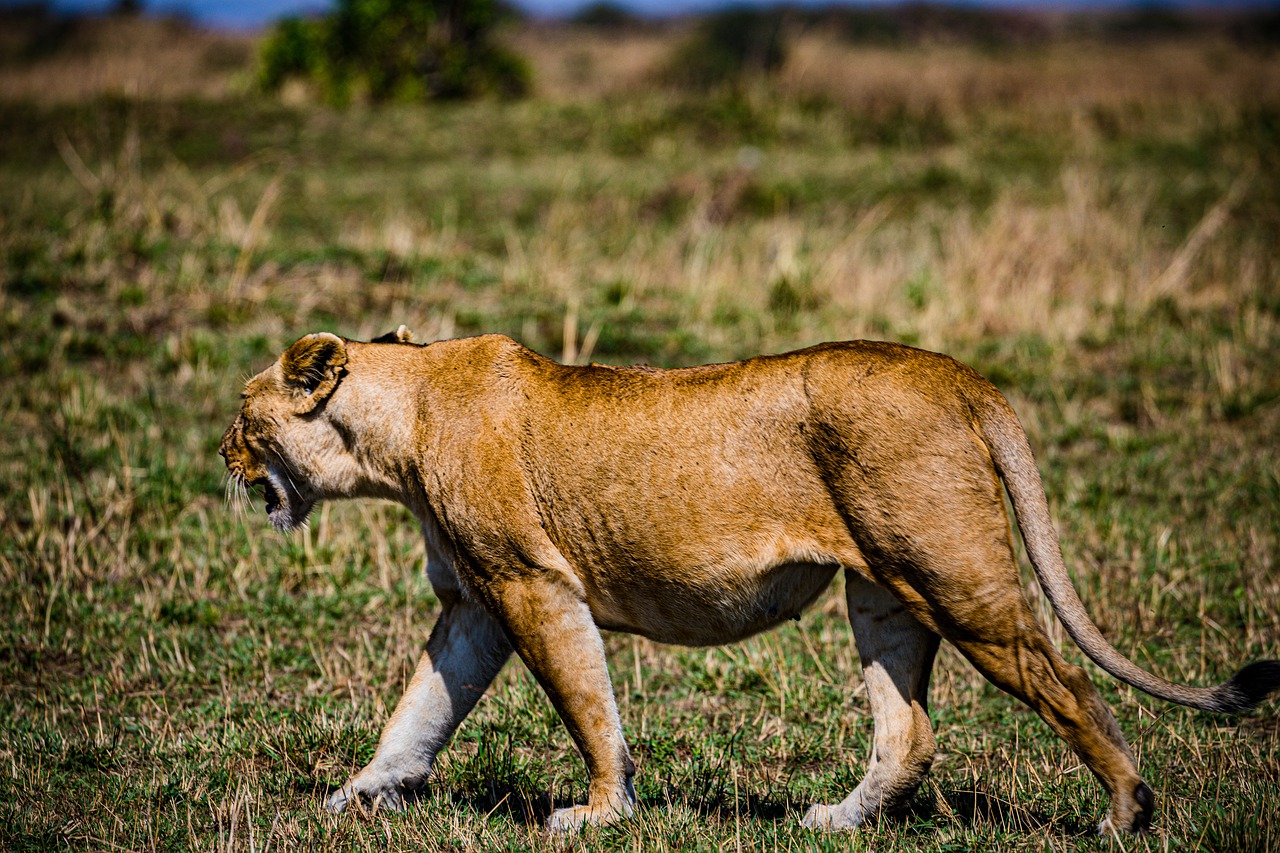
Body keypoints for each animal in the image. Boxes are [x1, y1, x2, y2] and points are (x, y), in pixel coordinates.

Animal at [219, 328, 1278, 835]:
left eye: (242, 411)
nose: (218, 455)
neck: (396, 431)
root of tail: (958, 373)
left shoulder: (533, 585)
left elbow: (585, 705)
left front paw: (598, 812)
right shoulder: (476, 602)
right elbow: (419, 710)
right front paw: (359, 794)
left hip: (957, 579)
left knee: (1067, 684)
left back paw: (1127, 812)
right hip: (883, 591)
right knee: (909, 732)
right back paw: (835, 821)